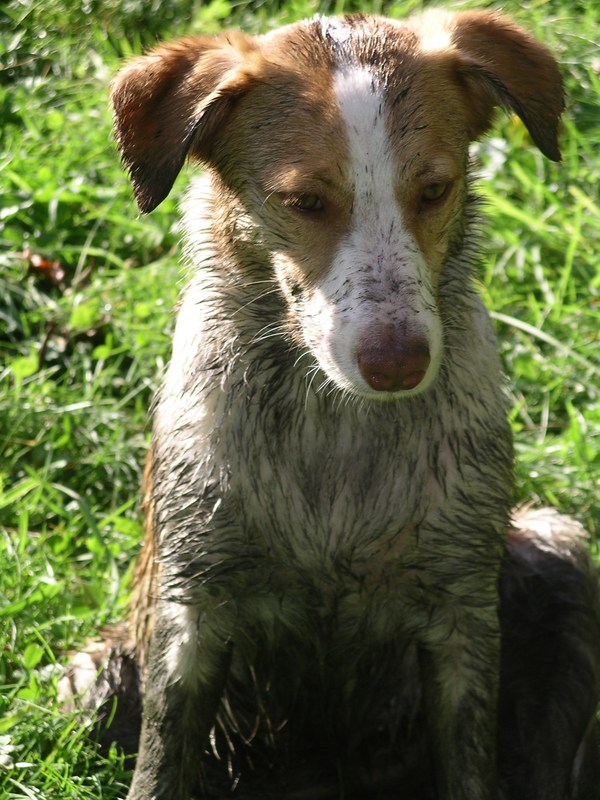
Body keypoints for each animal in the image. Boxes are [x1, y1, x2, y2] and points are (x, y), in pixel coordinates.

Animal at [61, 7, 600, 800]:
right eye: (305, 202)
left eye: (434, 189)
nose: (398, 364)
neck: (334, 424)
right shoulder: (193, 614)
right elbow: (160, 764)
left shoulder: (462, 617)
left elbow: (470, 765)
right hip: (90, 675)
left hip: (558, 549)